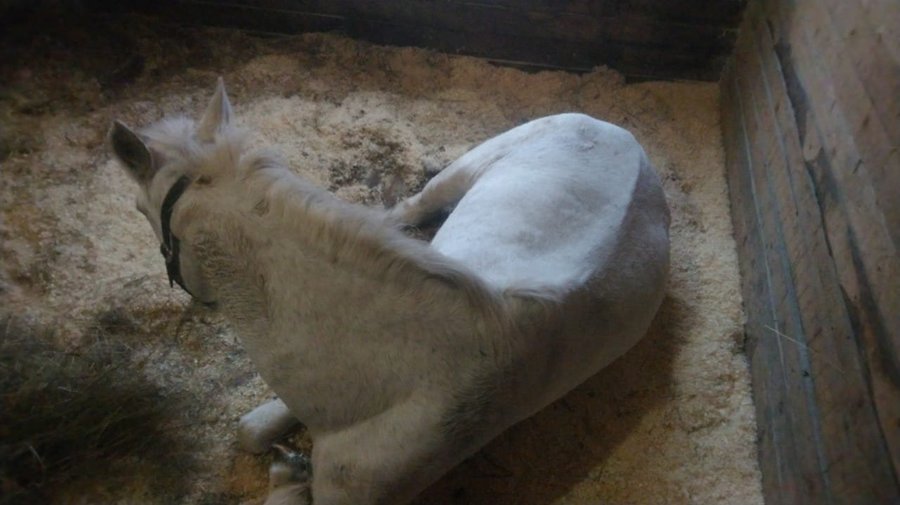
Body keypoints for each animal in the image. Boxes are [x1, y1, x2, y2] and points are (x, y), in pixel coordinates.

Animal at [107, 78, 669, 505]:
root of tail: (623, 135)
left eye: (137, 210)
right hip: (468, 167)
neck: (404, 365)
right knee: (412, 208)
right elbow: (256, 427)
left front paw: (291, 469)